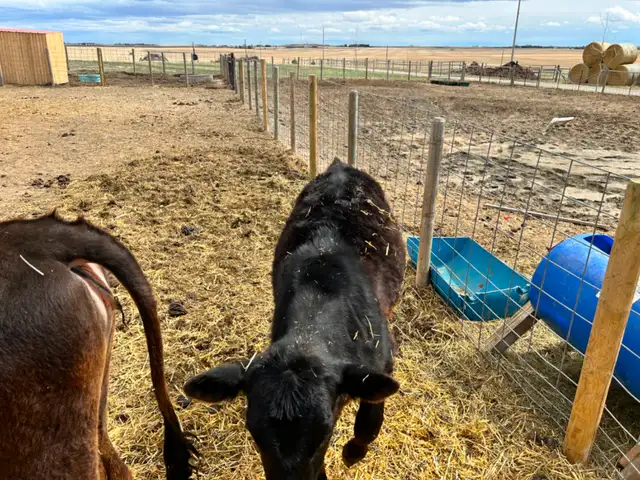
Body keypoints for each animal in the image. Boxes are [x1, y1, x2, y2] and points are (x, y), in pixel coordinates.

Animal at [185, 159, 405, 479]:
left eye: (325, 432)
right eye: (254, 432)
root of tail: (340, 166)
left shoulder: (382, 361)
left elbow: (369, 423)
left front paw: (353, 452)